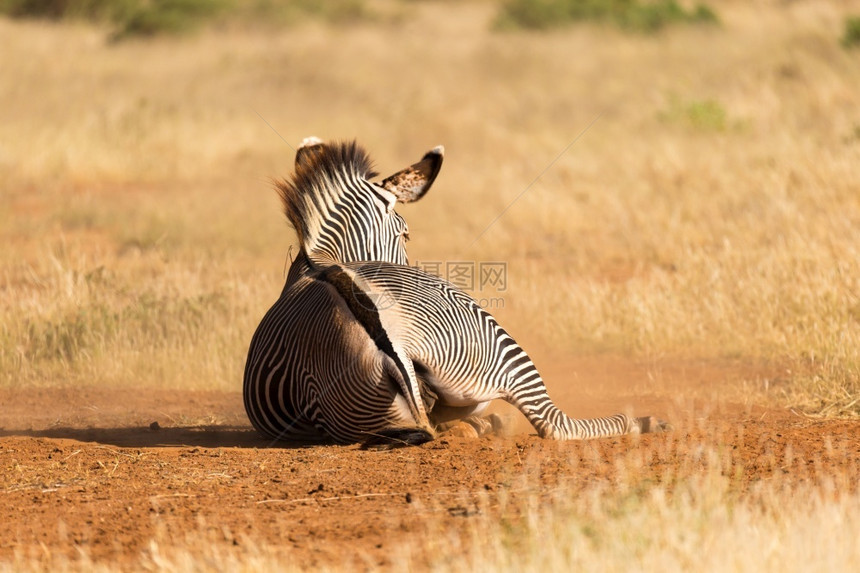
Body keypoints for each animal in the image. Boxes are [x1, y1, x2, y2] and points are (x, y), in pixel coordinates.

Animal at [242, 139, 664, 446]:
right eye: (406, 232)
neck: (323, 260)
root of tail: (390, 342)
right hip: (495, 342)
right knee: (553, 424)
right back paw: (641, 421)